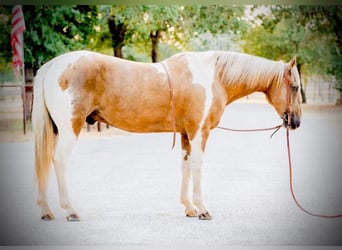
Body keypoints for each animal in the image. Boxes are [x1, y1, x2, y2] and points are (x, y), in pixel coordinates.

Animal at [32, 50, 302, 221]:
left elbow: (185, 166)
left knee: (44, 162)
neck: (213, 77)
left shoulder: (185, 134)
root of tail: (53, 65)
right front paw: (202, 209)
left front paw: (189, 208)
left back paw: (46, 210)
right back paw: (69, 210)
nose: (296, 122)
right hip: (70, 128)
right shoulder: (199, 133)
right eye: (295, 86)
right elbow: (197, 166)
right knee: (58, 161)